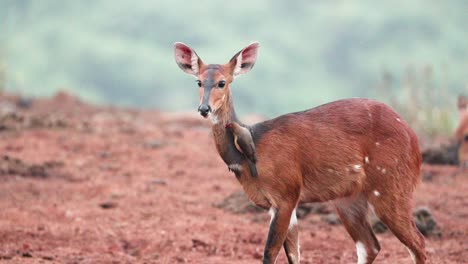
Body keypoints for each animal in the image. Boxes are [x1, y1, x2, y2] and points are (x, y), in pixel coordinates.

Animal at [174, 42, 426, 262]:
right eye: (198, 82)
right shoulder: (282, 204)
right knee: (370, 245)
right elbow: (294, 254)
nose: (204, 109)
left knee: (418, 243)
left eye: (222, 82)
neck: (251, 152)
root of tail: (414, 139)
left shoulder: (286, 195)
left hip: (390, 188)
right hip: (348, 199)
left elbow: (270, 253)